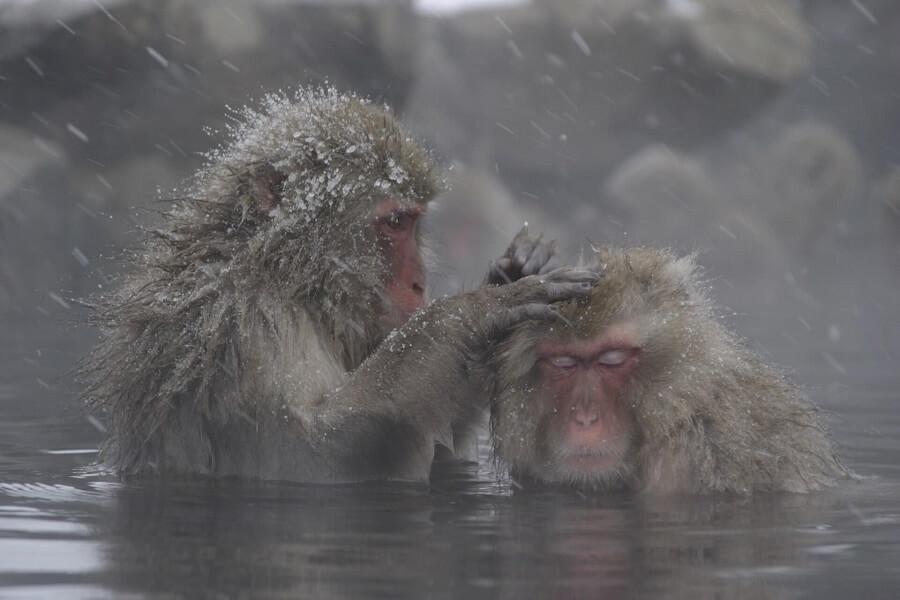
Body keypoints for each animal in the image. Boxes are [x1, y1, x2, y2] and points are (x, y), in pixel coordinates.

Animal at [80, 87, 599, 482]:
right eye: (394, 223)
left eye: (414, 222)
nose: (420, 283)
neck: (288, 275)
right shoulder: (242, 327)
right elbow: (314, 456)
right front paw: (476, 311)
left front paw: (518, 268)